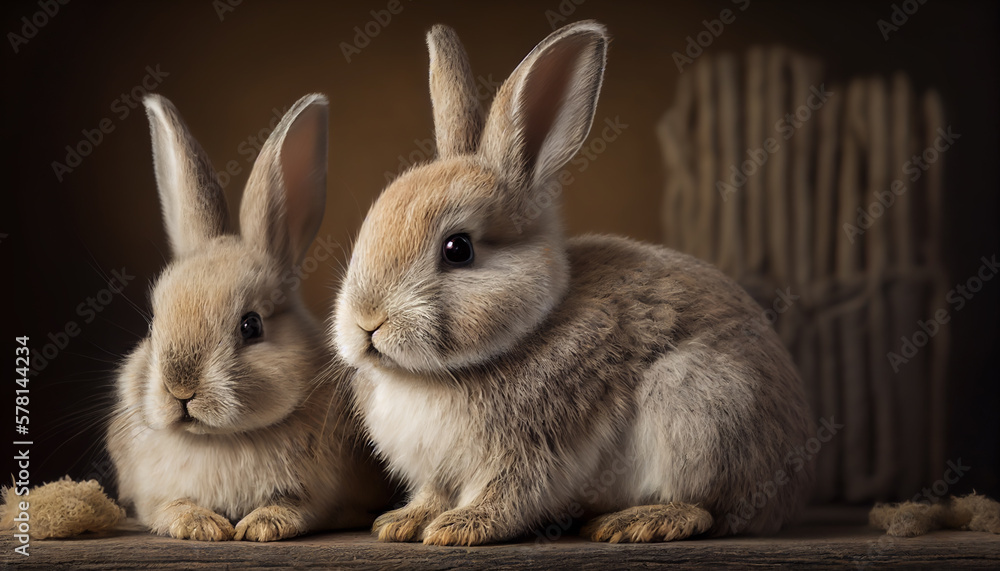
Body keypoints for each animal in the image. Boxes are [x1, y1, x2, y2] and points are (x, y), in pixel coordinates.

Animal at [107, 93, 389, 542]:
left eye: (251, 325)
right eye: (152, 325)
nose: (180, 389)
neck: (218, 438)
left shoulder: (324, 498)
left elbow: (300, 506)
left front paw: (261, 525)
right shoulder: (150, 499)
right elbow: (169, 507)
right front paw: (201, 525)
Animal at [332, 21, 815, 547]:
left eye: (457, 248)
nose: (367, 322)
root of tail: (790, 491)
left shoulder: (531, 452)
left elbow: (509, 495)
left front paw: (459, 529)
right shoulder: (439, 471)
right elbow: (434, 493)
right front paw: (401, 523)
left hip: (699, 405)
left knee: (707, 510)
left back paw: (635, 522)